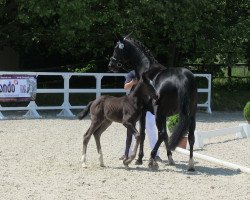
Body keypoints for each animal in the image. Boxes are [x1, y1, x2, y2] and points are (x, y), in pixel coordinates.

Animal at [108, 34, 198, 170]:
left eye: (116, 48)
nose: (111, 65)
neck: (146, 68)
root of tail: (183, 78)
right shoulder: (164, 115)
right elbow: (166, 136)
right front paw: (170, 158)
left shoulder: (144, 111)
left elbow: (143, 133)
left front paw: (139, 158)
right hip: (191, 114)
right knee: (190, 137)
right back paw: (191, 164)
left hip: (158, 113)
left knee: (161, 134)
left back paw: (151, 159)